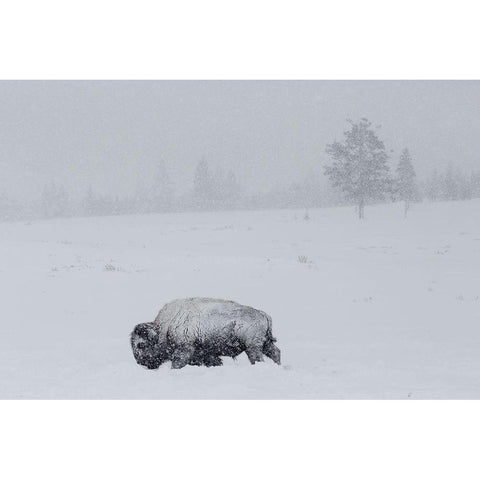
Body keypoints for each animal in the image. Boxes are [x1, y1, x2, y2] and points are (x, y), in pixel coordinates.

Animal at [131, 296, 282, 372]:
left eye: (141, 344)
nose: (140, 362)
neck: (165, 327)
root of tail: (263, 314)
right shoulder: (205, 353)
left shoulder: (185, 349)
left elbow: (177, 363)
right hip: (265, 344)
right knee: (275, 352)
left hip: (253, 347)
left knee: (258, 358)